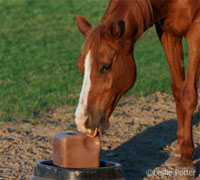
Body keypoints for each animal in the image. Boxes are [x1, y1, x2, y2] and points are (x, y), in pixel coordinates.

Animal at [74, 0, 200, 177]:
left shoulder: (196, 32)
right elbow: (177, 89)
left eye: (106, 66)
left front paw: (186, 162)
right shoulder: (168, 33)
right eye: (80, 67)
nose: (81, 121)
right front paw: (178, 152)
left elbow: (188, 95)